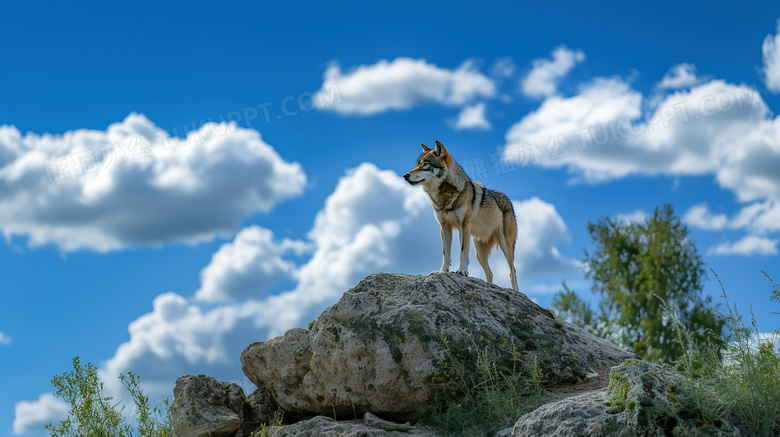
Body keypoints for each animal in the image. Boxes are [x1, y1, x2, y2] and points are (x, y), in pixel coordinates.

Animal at [402, 141, 516, 290]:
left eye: (425, 164)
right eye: (416, 164)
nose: (405, 175)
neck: (444, 197)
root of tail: (509, 200)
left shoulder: (464, 226)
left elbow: (462, 251)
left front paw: (462, 271)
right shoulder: (444, 227)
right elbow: (446, 253)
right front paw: (442, 271)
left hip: (505, 246)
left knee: (513, 271)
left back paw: (517, 292)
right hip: (479, 252)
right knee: (490, 273)